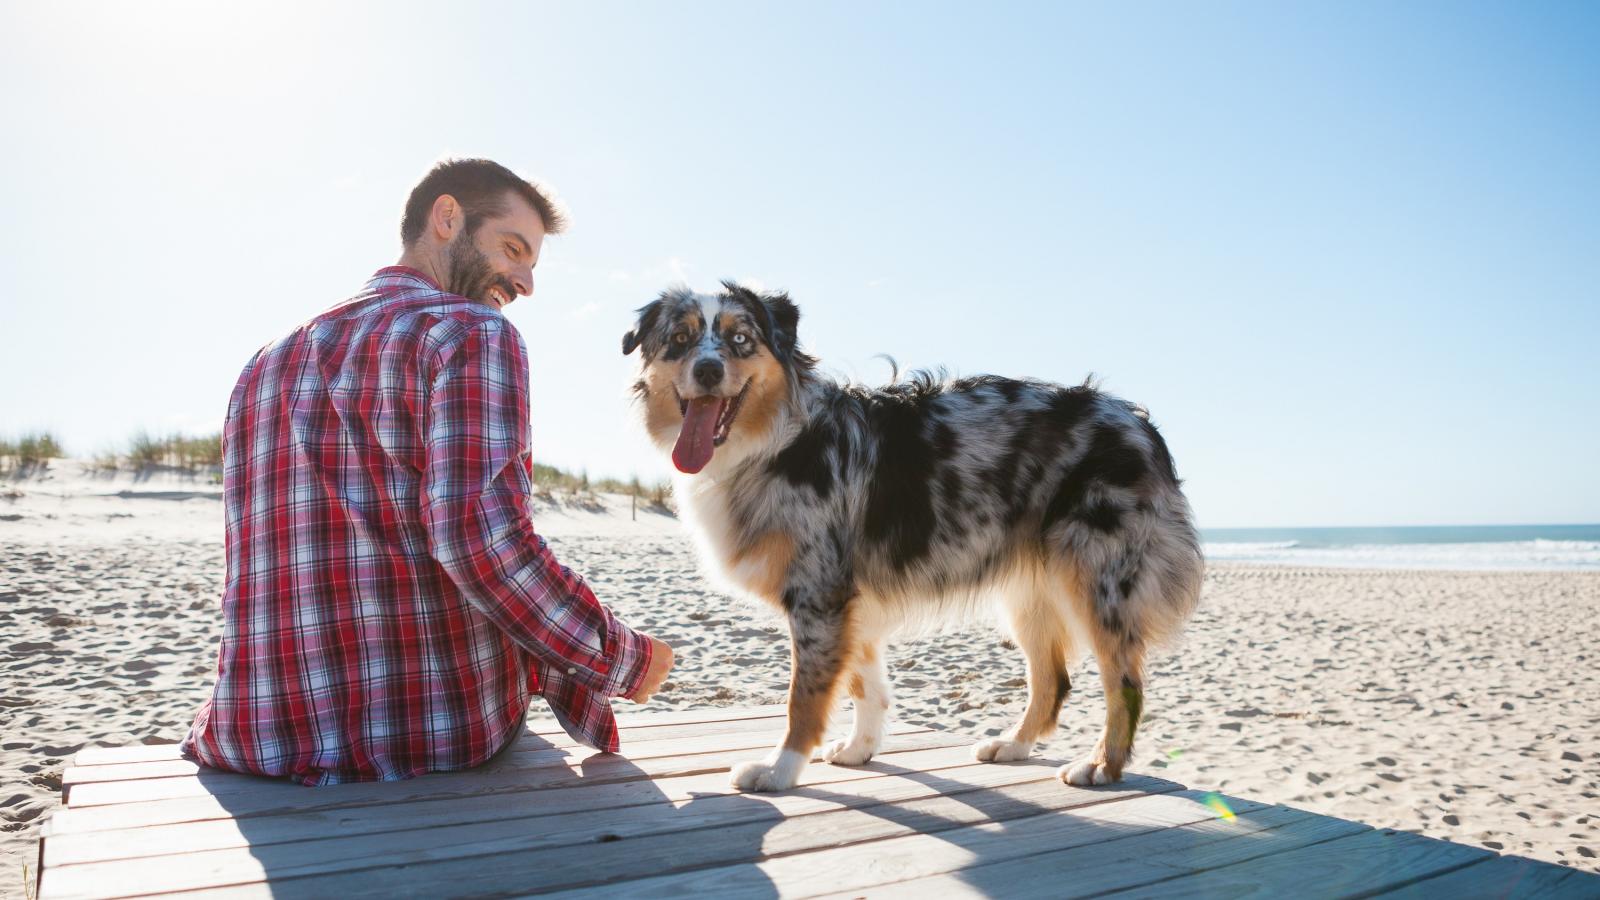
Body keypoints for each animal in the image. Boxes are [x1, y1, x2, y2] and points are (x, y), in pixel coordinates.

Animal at [624, 281, 1203, 791]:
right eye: (680, 339)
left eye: (741, 338)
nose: (708, 368)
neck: (775, 439)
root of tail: (1137, 421)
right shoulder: (847, 600)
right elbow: (865, 683)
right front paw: (860, 749)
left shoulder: (819, 594)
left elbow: (805, 697)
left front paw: (780, 770)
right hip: (1028, 591)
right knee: (1053, 679)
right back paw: (1013, 745)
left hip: (1098, 581)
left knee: (1124, 685)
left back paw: (1101, 765)